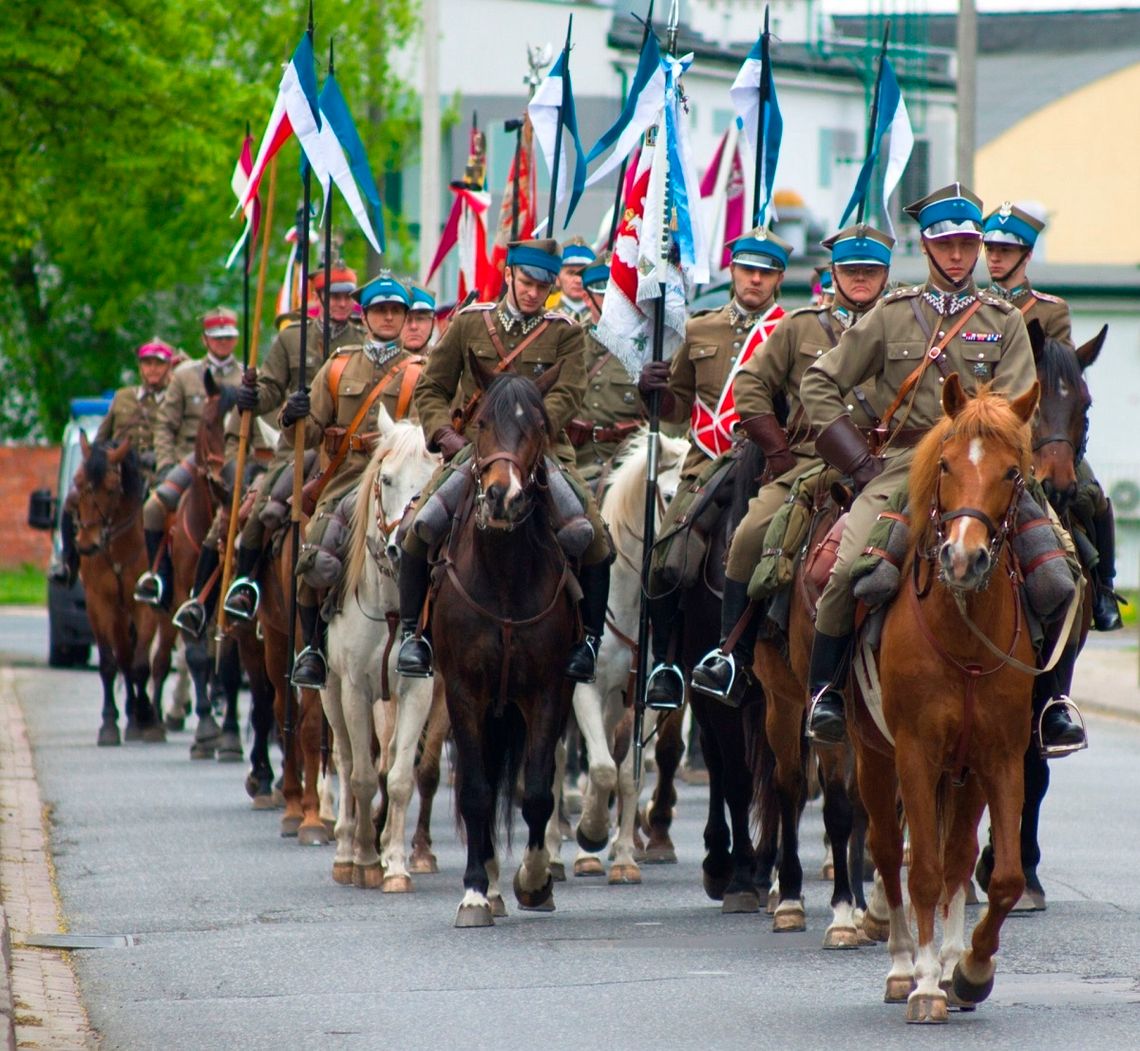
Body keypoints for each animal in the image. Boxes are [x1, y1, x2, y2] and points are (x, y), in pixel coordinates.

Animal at [71, 437, 166, 743]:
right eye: (78, 482)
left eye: (111, 489)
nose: (86, 544)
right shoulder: (99, 604)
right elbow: (109, 664)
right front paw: (110, 723)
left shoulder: (145, 604)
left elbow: (141, 666)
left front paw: (145, 714)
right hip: (119, 616)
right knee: (124, 656)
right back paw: (132, 715)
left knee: (158, 662)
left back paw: (153, 718)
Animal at [435, 353, 579, 925]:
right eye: (480, 424)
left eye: (539, 425)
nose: (502, 496)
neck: (502, 578)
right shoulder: (463, 692)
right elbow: (476, 790)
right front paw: (476, 890)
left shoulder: (548, 690)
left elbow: (536, 789)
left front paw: (535, 880)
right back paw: (489, 881)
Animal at [547, 430, 688, 880]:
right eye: (667, 494)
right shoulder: (583, 690)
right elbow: (603, 767)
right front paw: (591, 833)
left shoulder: (646, 700)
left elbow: (626, 773)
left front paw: (623, 855)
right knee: (557, 761)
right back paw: (554, 852)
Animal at [857, 373, 1044, 1021]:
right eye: (944, 463)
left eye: (1012, 472)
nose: (963, 559)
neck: (963, 631)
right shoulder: (914, 753)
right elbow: (923, 871)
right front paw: (923, 985)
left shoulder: (1000, 757)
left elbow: (1001, 876)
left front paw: (969, 971)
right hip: (872, 756)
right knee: (890, 852)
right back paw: (901, 965)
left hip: (962, 775)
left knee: (959, 857)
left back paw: (946, 958)